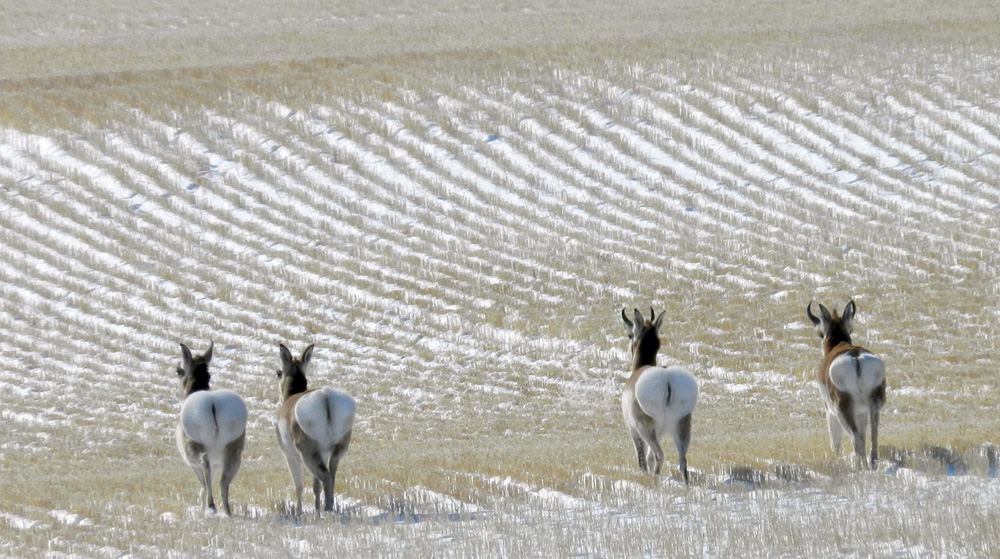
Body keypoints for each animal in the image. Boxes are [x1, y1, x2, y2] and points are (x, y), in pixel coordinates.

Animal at [174, 342, 247, 516]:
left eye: (179, 370)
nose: (176, 394)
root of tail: (212, 404)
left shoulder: (192, 463)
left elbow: (202, 485)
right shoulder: (217, 464)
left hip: (196, 450)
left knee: (204, 463)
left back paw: (212, 505)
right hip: (233, 455)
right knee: (224, 481)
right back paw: (227, 511)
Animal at [274, 343, 356, 515]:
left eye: (278, 373)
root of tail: (325, 397)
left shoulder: (290, 457)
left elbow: (298, 487)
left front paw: (299, 513)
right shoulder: (323, 455)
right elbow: (315, 486)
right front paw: (316, 510)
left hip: (308, 455)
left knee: (325, 476)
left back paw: (327, 510)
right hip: (336, 452)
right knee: (331, 476)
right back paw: (328, 508)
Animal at [620, 308, 699, 483]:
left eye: (630, 335)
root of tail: (667, 379)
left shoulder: (633, 430)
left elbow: (643, 459)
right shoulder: (661, 432)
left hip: (645, 430)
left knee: (659, 455)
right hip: (681, 428)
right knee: (682, 460)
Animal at [807, 300, 886, 469]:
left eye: (820, 333)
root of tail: (855, 356)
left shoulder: (829, 412)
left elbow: (835, 442)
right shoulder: (861, 412)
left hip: (841, 411)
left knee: (855, 438)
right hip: (874, 405)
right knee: (872, 435)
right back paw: (872, 464)